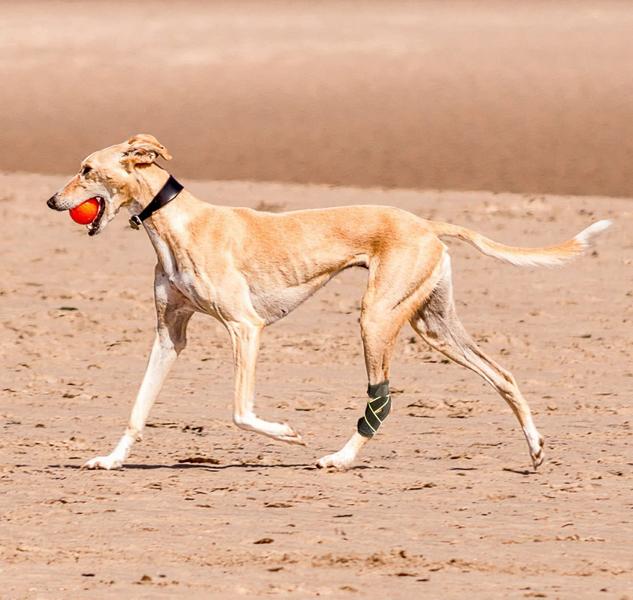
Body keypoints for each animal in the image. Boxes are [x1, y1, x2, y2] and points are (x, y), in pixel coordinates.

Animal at [47, 136, 608, 474]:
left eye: (86, 169)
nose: (53, 201)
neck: (177, 223)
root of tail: (426, 223)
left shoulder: (245, 327)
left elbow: (241, 412)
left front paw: (287, 434)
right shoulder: (170, 335)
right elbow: (138, 408)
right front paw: (110, 460)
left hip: (377, 317)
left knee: (383, 398)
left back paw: (339, 457)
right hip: (434, 326)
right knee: (502, 375)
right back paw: (534, 447)